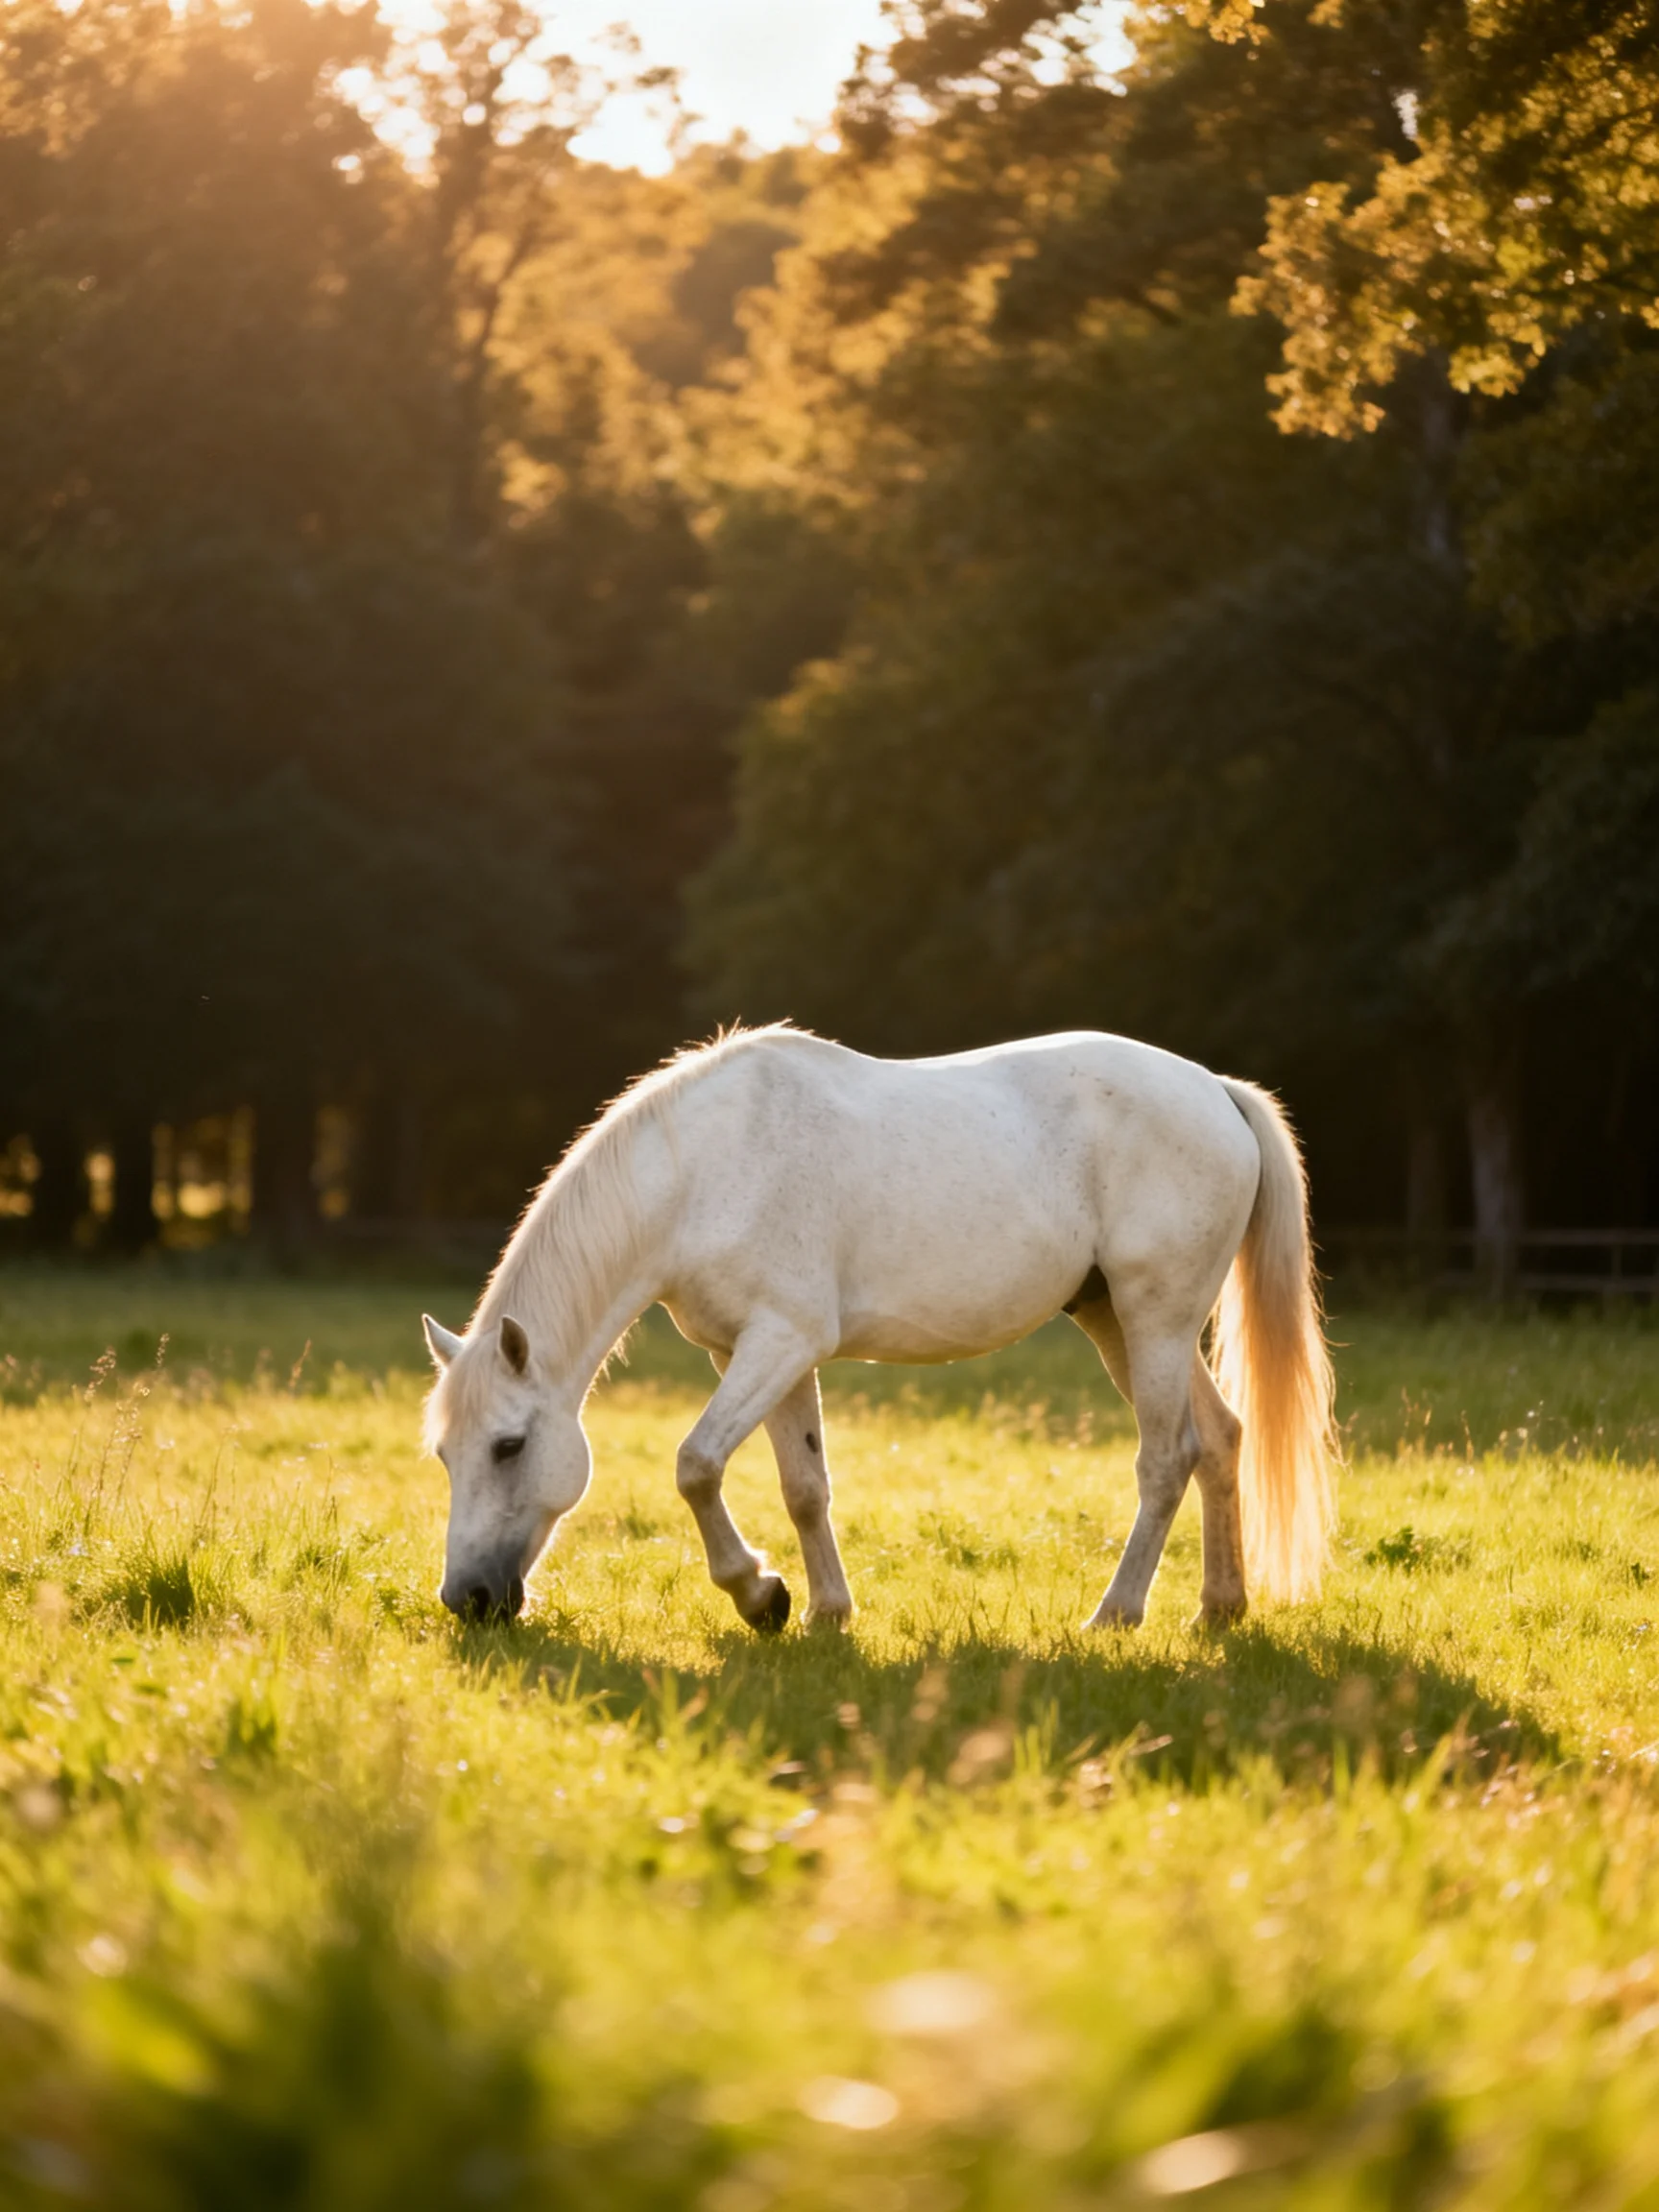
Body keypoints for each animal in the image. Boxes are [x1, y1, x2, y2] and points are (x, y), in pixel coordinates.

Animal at [421, 1024, 1337, 1634]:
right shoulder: (759, 1355)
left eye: (508, 1446)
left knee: (1166, 1458)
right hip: (1122, 1320)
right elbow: (804, 1487)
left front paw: (757, 1594)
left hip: (1155, 1320)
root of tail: (1216, 1090)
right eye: (443, 1455)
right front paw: (819, 1610)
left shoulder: (780, 1342)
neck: (702, 1171)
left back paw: (1116, 1614)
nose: (467, 1601)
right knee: (1220, 1439)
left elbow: (696, 1465)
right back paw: (1219, 1610)